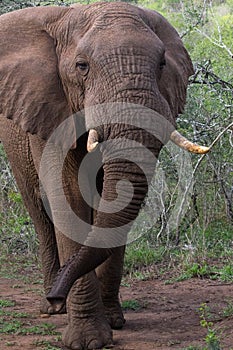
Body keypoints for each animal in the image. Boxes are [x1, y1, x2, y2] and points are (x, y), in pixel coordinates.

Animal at [0, 2, 209, 348]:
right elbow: (68, 198)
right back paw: (51, 308)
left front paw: (114, 322)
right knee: (38, 211)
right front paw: (87, 340)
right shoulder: (51, 112)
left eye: (162, 63)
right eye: (82, 66)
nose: (58, 295)